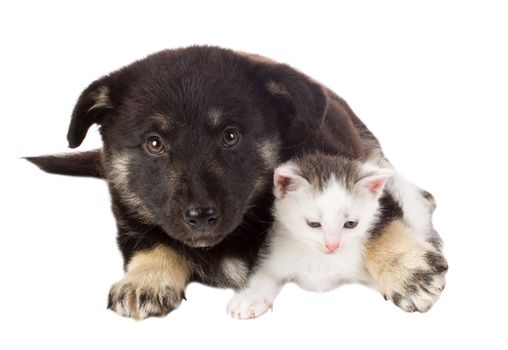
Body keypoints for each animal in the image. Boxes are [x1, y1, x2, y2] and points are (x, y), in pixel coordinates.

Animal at [227, 152, 392, 318]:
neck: (319, 260)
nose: (332, 246)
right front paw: (250, 298)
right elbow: (264, 275)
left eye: (350, 224)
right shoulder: (273, 255)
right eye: (313, 223)